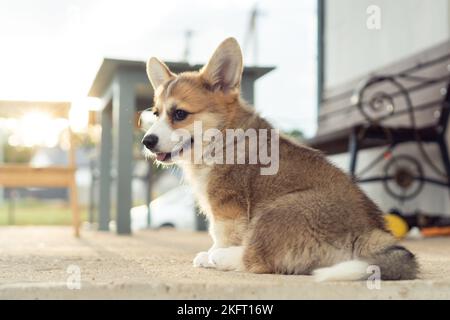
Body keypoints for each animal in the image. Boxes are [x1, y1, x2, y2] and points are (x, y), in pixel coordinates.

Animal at [142, 38, 418, 282]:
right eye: (156, 114)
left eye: (180, 114)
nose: (147, 141)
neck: (222, 136)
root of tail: (367, 235)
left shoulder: (227, 207)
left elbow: (221, 235)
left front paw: (212, 254)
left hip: (277, 209)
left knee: (257, 259)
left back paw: (222, 258)